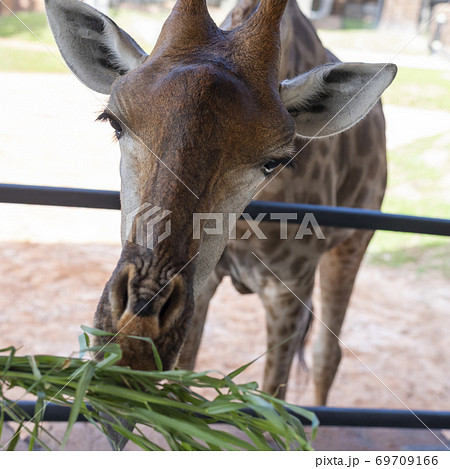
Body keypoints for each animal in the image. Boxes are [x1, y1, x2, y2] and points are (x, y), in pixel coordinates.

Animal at [46, 0, 398, 404]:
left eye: (273, 162)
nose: (136, 336)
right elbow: (183, 374)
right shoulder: (204, 283)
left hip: (355, 242)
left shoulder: (290, 287)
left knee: (328, 354)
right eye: (114, 122)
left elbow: (273, 397)